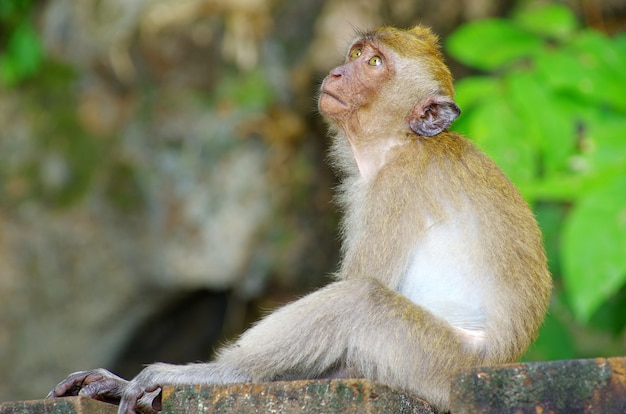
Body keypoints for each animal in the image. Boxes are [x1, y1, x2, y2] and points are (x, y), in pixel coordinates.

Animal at [46, 26, 548, 414]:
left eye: (376, 64)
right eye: (357, 54)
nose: (339, 72)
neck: (404, 142)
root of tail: (502, 359)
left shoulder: (396, 189)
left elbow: (358, 301)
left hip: (437, 364)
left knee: (360, 300)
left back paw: (224, 373)